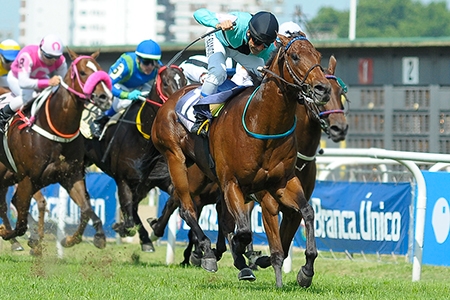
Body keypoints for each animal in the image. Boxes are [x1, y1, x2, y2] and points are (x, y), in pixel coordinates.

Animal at [0, 49, 113, 250]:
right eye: (82, 72)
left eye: (100, 70)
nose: (105, 97)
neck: (56, 128)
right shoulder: (28, 179)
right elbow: (21, 223)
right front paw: (12, 234)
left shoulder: (71, 176)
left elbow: (86, 209)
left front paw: (73, 239)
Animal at [84, 64, 186, 252]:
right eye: (165, 83)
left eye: (184, 81)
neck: (142, 139)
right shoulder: (123, 180)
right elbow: (129, 216)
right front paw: (123, 228)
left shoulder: (159, 179)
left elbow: (173, 200)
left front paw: (154, 229)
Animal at [153, 32, 332, 286]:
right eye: (295, 56)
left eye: (318, 55)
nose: (322, 89)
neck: (263, 123)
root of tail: (171, 100)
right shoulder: (234, 183)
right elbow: (245, 231)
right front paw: (240, 251)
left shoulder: (282, 182)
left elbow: (307, 212)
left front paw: (305, 271)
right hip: (175, 158)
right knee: (186, 209)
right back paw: (207, 252)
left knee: (220, 216)